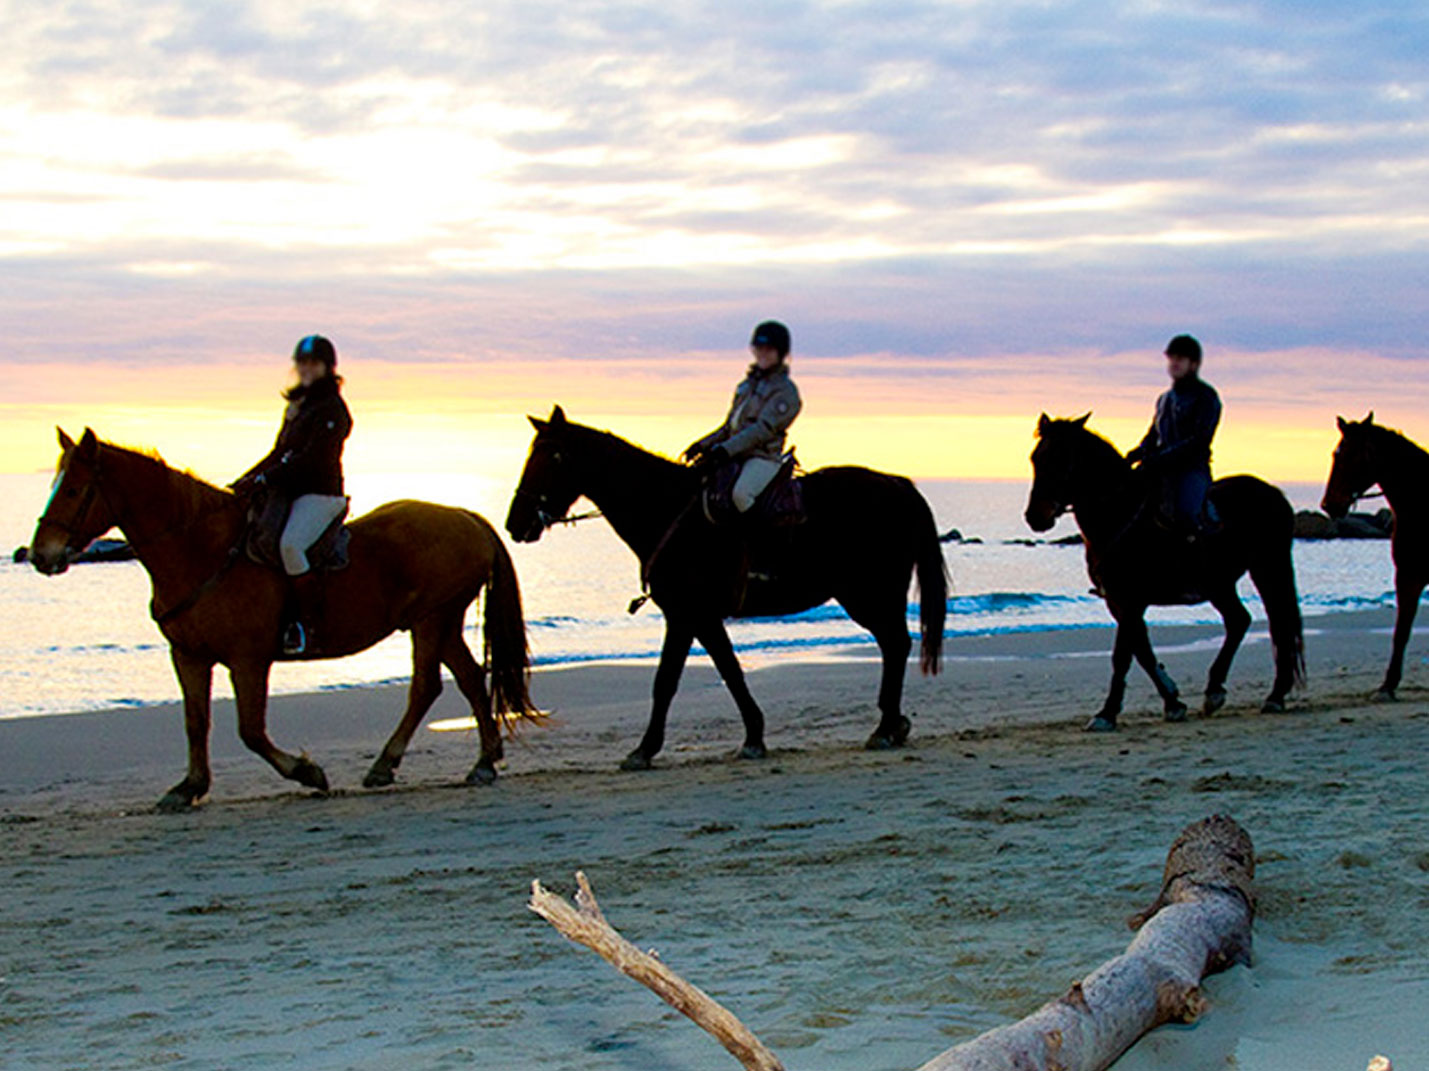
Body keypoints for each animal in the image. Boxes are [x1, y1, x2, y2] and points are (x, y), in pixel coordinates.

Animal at [28, 428, 536, 810]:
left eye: (72, 489)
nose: (39, 555)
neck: (201, 551)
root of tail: (466, 517)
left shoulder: (248, 660)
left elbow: (250, 730)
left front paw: (307, 772)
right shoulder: (189, 657)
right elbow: (195, 722)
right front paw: (189, 787)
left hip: (432, 620)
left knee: (426, 687)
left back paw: (386, 764)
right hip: (440, 622)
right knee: (469, 678)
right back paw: (484, 761)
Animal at [505, 406, 947, 769]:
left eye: (551, 458)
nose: (515, 523)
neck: (666, 508)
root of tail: (898, 485)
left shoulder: (685, 615)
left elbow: (668, 681)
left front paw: (645, 749)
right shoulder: (698, 618)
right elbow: (729, 671)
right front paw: (752, 735)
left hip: (869, 595)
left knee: (896, 644)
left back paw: (887, 727)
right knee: (894, 644)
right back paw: (891, 724)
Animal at [1025, 414, 1304, 730]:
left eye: (1061, 458)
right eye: (1036, 458)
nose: (1036, 516)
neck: (1119, 516)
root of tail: (1271, 492)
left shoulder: (1130, 600)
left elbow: (1123, 655)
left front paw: (1107, 713)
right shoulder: (1118, 602)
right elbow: (1142, 651)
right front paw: (1172, 701)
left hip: (1268, 567)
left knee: (1278, 623)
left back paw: (1275, 695)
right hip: (1219, 583)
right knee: (1239, 621)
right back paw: (1215, 691)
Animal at [1322, 413, 1429, 700]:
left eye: (1349, 454)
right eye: (1335, 454)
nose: (1329, 505)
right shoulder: (1408, 576)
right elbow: (1400, 632)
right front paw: (1388, 685)